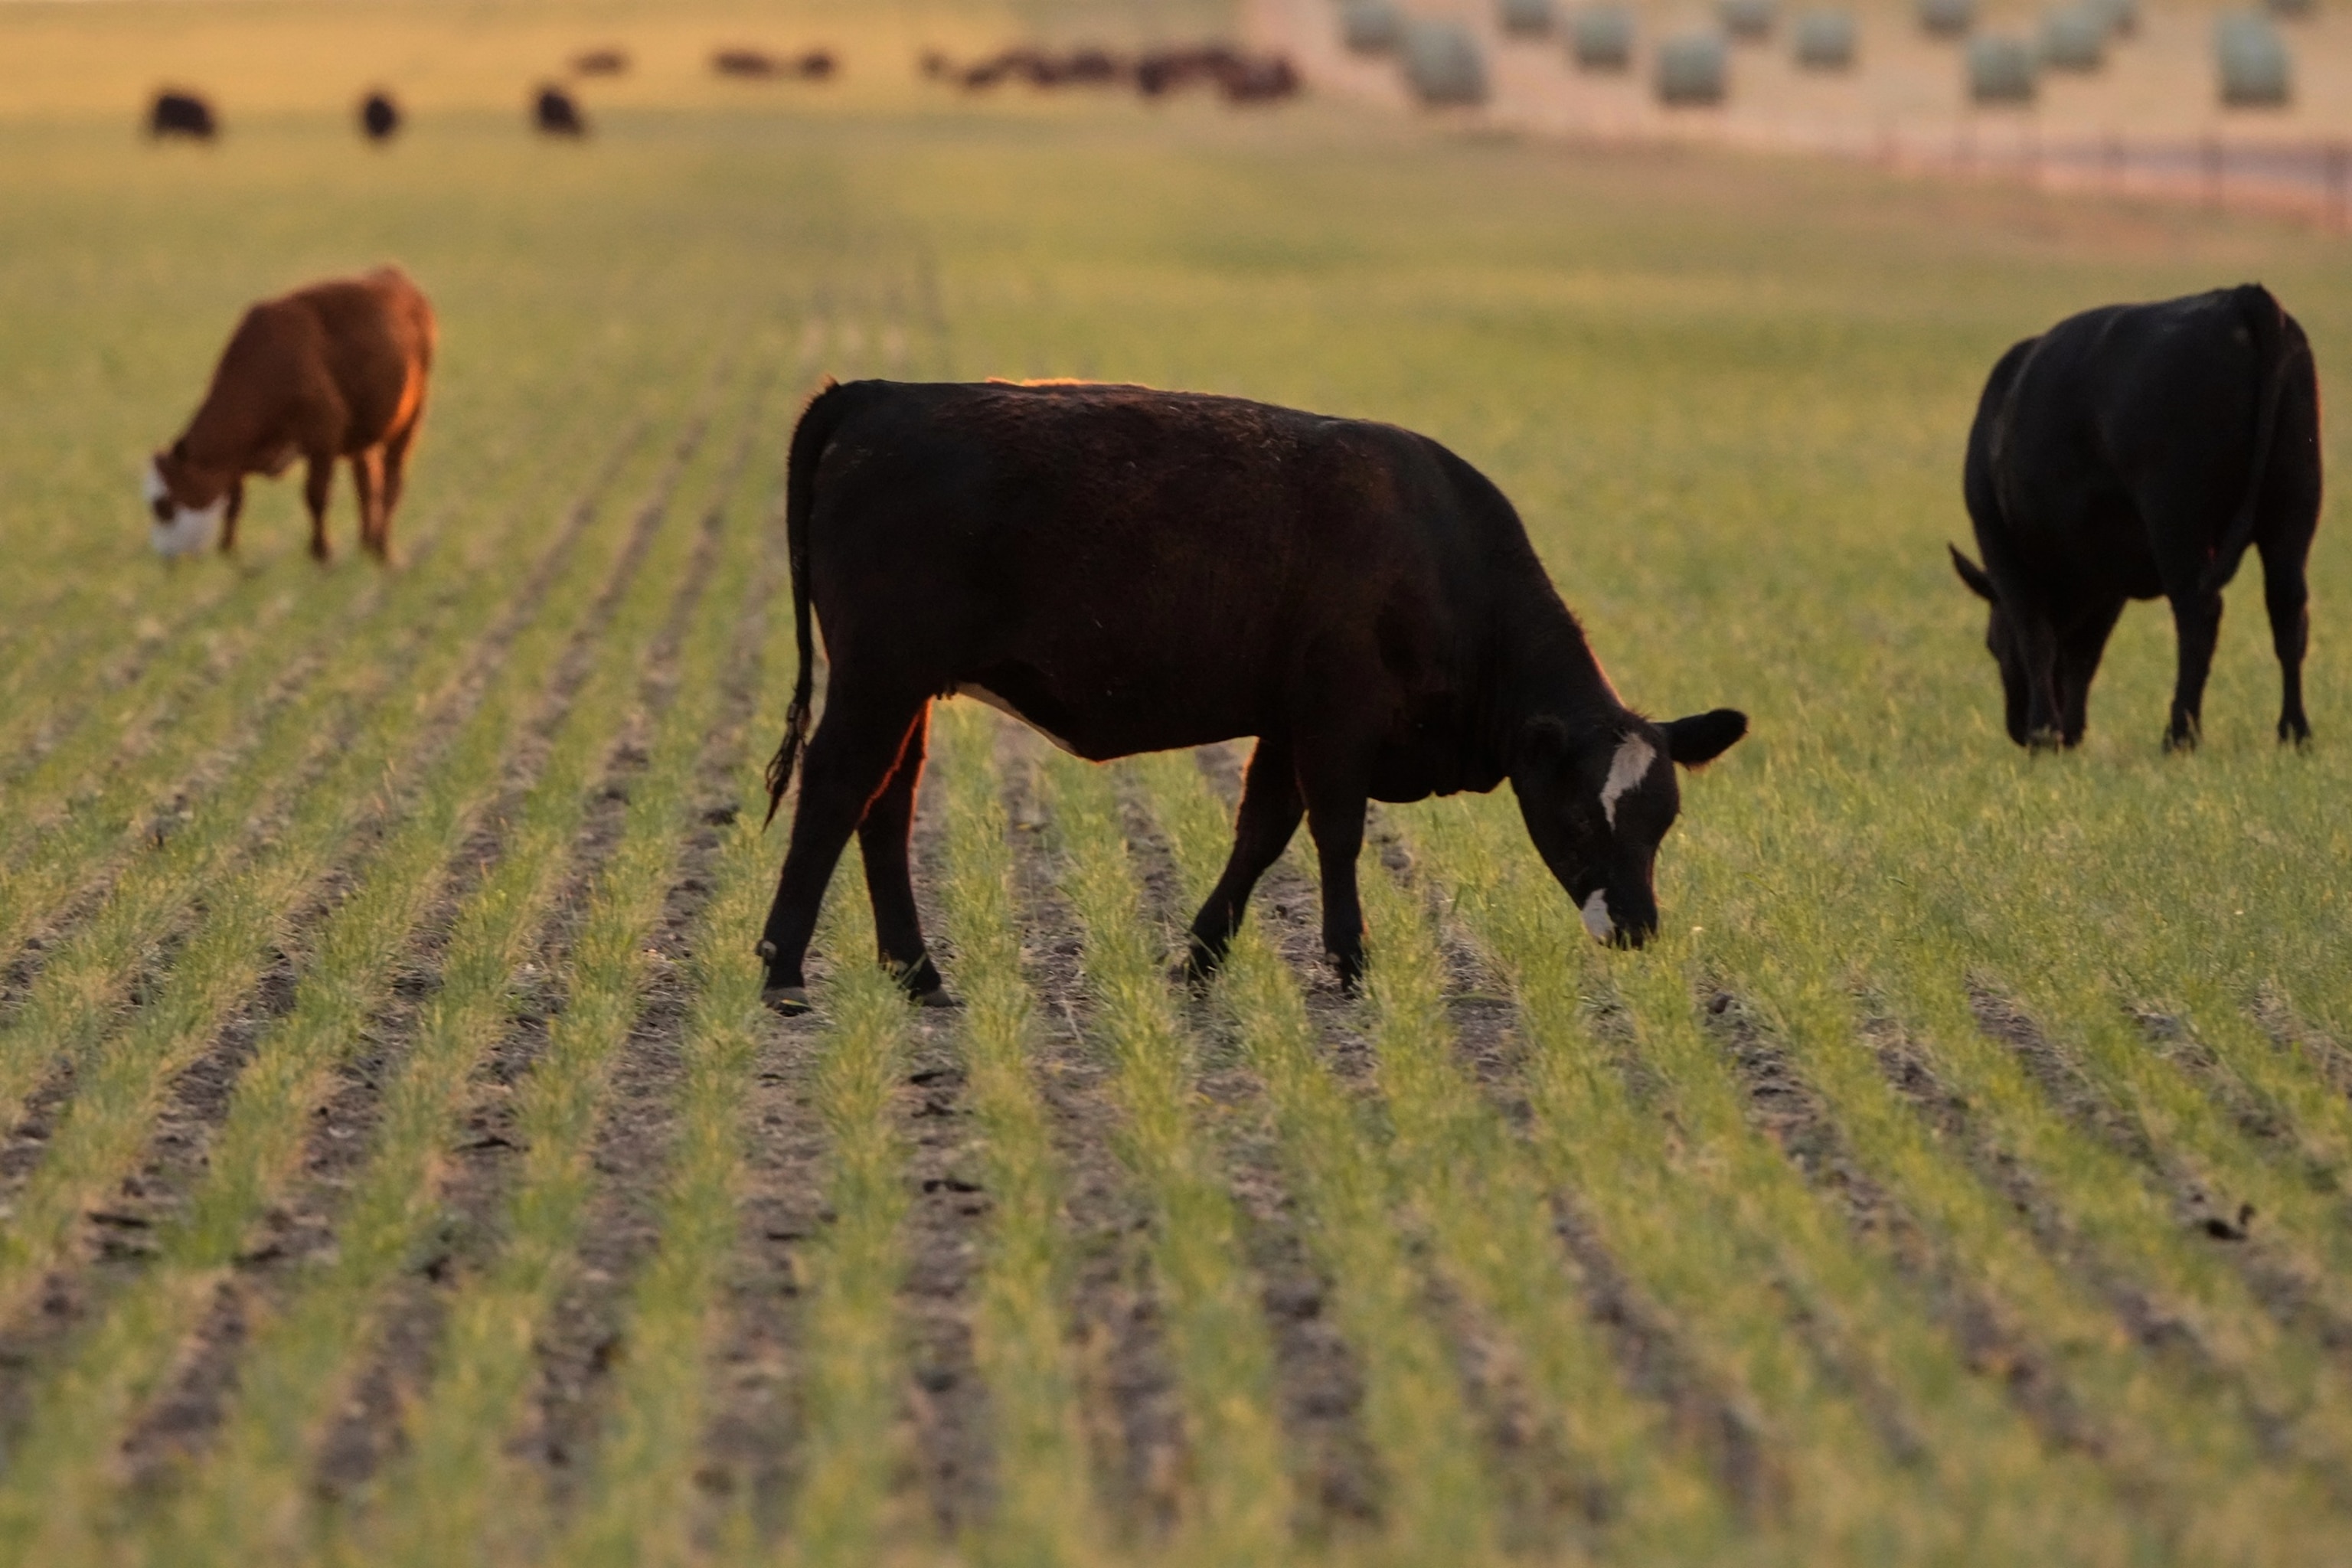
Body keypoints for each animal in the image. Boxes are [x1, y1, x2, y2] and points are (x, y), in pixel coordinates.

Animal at [146, 266, 435, 564]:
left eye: (162, 506)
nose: (164, 557)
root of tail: (390, 273)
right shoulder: (235, 459)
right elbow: (234, 502)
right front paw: (230, 552)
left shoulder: (323, 435)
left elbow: (315, 496)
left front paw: (321, 553)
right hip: (363, 430)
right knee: (366, 482)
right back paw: (365, 545)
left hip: (411, 418)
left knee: (391, 479)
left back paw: (381, 549)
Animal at [753, 380, 1748, 1013]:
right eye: (1579, 817)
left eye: (1662, 822)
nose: (1638, 929)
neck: (1441, 552)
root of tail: (879, 390)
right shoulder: (1339, 715)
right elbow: (1337, 832)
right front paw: (1349, 960)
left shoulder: (1285, 721)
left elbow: (1261, 832)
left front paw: (1199, 958)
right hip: (880, 677)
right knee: (837, 788)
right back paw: (783, 969)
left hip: (907, 688)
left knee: (886, 804)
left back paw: (916, 972)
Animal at [1950, 284, 2320, 752]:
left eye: (1992, 644)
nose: (2015, 728)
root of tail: (2239, 296)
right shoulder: (2106, 577)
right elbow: (2083, 654)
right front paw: (2070, 731)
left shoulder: (1999, 544)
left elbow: (2038, 637)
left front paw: (2046, 732)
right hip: (2294, 505)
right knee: (2288, 609)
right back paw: (2294, 731)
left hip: (2176, 520)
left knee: (2199, 615)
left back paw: (2179, 735)